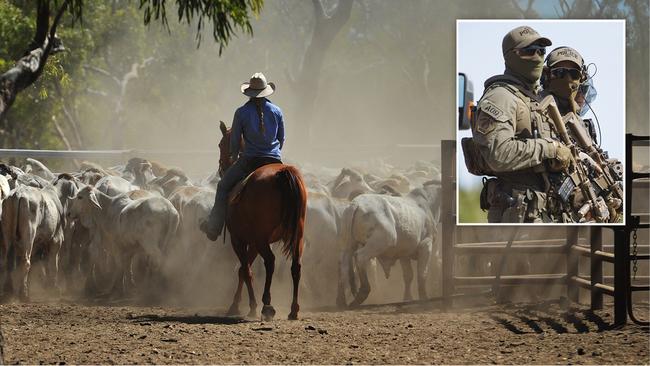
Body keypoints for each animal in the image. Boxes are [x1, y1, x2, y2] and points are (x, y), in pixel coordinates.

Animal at [218, 121, 306, 320]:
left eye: (220, 144)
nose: (221, 169)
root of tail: (283, 173)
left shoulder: (239, 239)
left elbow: (245, 270)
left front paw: (247, 306)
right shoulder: (253, 242)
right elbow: (243, 270)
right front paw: (239, 305)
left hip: (261, 238)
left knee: (271, 262)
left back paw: (267, 305)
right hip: (297, 236)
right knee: (296, 265)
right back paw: (293, 310)